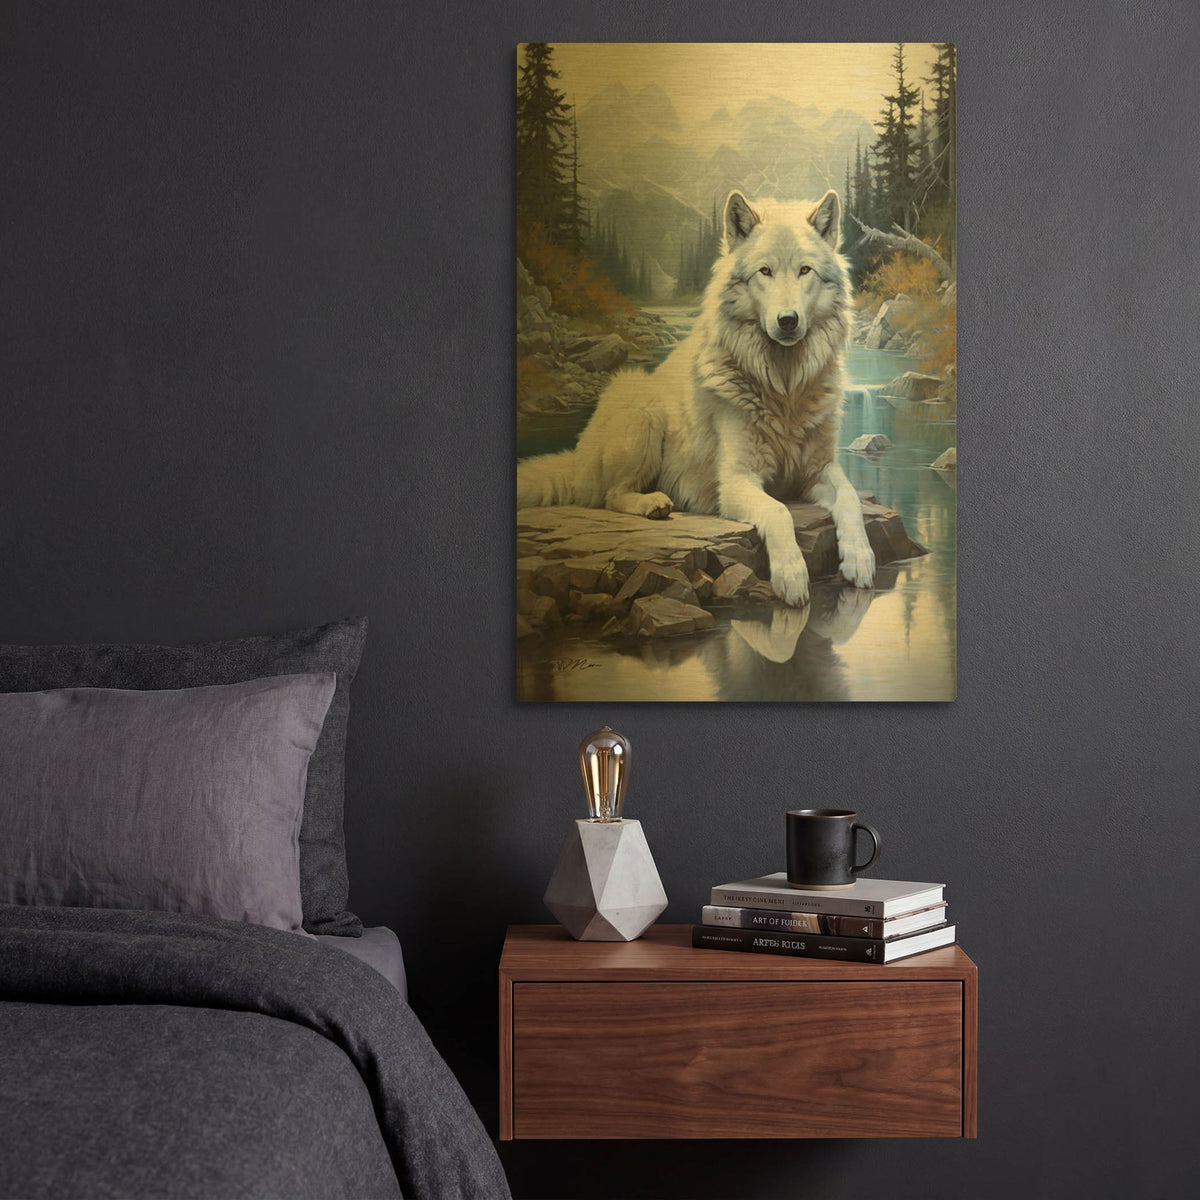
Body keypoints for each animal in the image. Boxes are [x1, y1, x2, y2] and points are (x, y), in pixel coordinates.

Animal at [516, 188, 874, 605]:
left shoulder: (820, 469)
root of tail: (579, 458)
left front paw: (860, 559)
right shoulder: (736, 481)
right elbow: (779, 512)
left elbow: (850, 499)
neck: (782, 388)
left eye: (805, 271)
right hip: (642, 410)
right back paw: (652, 503)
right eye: (765, 272)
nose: (788, 321)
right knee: (610, 494)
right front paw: (792, 575)